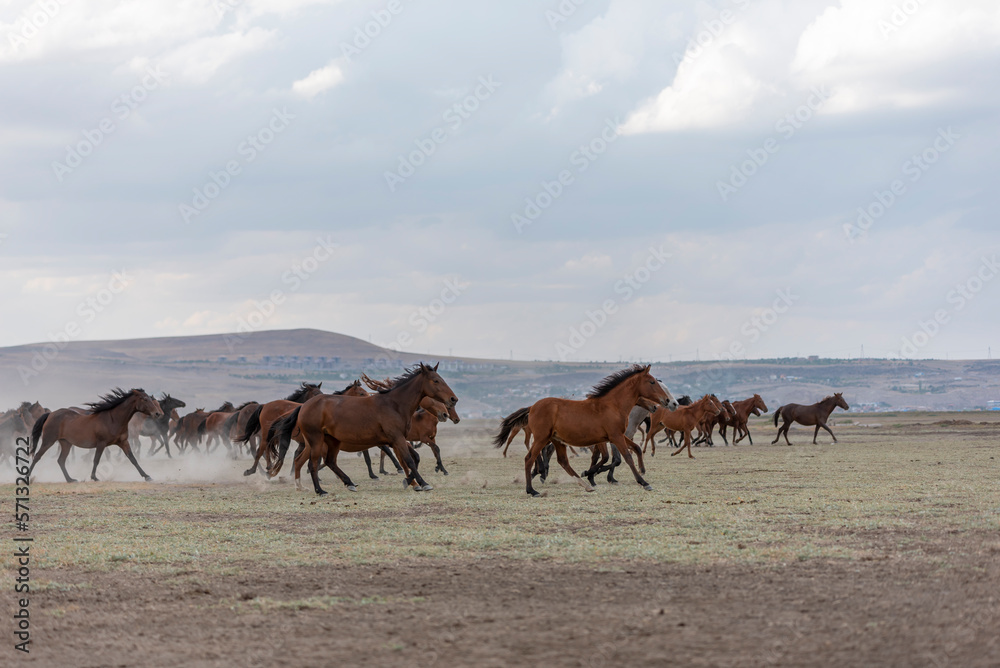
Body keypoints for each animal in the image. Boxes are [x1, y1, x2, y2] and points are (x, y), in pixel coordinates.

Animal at [27, 388, 163, 482]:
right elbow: (96, 460)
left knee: (61, 460)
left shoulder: (123, 442)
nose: (157, 414)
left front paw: (147, 476)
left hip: (66, 443)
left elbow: (133, 458)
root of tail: (50, 414)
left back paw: (70, 479)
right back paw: (27, 477)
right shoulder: (101, 444)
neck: (113, 419)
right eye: (145, 399)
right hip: (48, 441)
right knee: (37, 456)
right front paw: (94, 477)